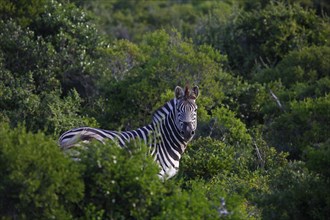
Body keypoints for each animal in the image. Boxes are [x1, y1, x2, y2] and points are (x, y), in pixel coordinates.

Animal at [58, 85, 199, 180]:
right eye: (178, 110)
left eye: (195, 110)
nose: (187, 132)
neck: (164, 141)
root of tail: (63, 137)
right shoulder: (156, 174)